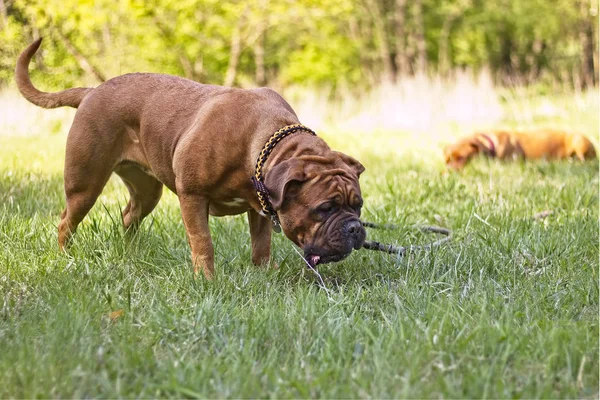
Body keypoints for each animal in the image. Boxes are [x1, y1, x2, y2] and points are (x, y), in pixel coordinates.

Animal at [16, 39, 366, 280]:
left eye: (358, 206)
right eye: (325, 208)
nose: (355, 228)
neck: (263, 143)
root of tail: (91, 91)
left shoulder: (260, 208)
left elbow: (261, 244)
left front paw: (263, 271)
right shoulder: (192, 196)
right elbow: (203, 242)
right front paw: (207, 280)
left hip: (147, 190)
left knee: (129, 216)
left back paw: (131, 252)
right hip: (85, 183)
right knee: (67, 221)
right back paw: (66, 258)